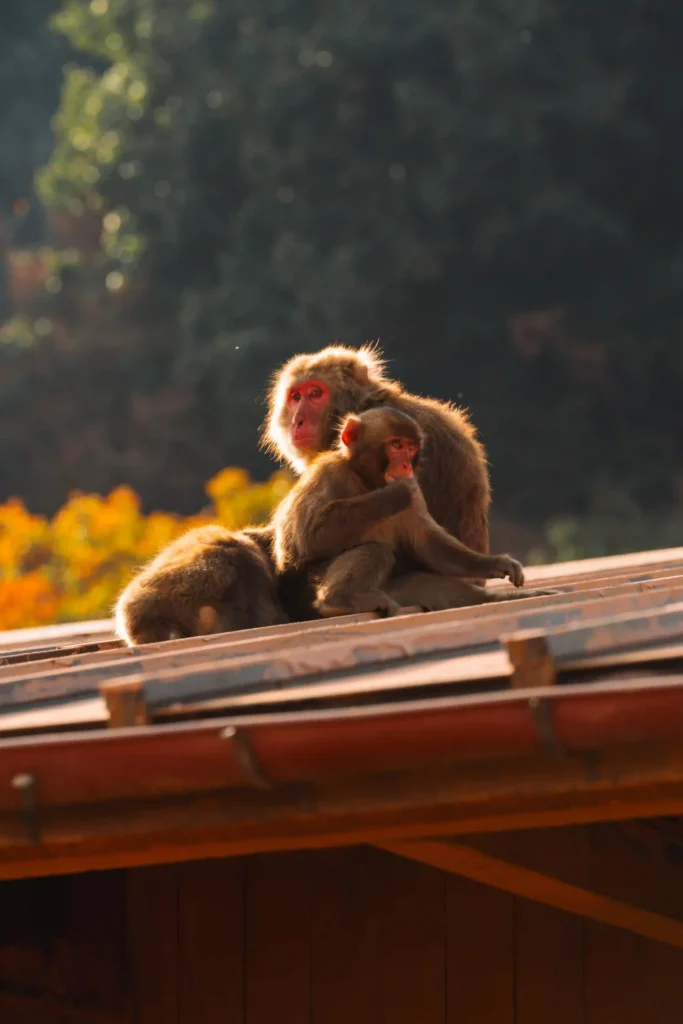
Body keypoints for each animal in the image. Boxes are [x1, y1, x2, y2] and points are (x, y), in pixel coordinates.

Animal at [272, 407, 538, 618]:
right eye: (396, 445)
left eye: (410, 448)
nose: (406, 465)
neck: (367, 481)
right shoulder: (328, 473)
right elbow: (306, 539)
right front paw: (395, 493)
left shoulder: (416, 495)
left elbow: (430, 546)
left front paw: (497, 563)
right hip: (304, 590)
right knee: (376, 550)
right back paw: (338, 601)